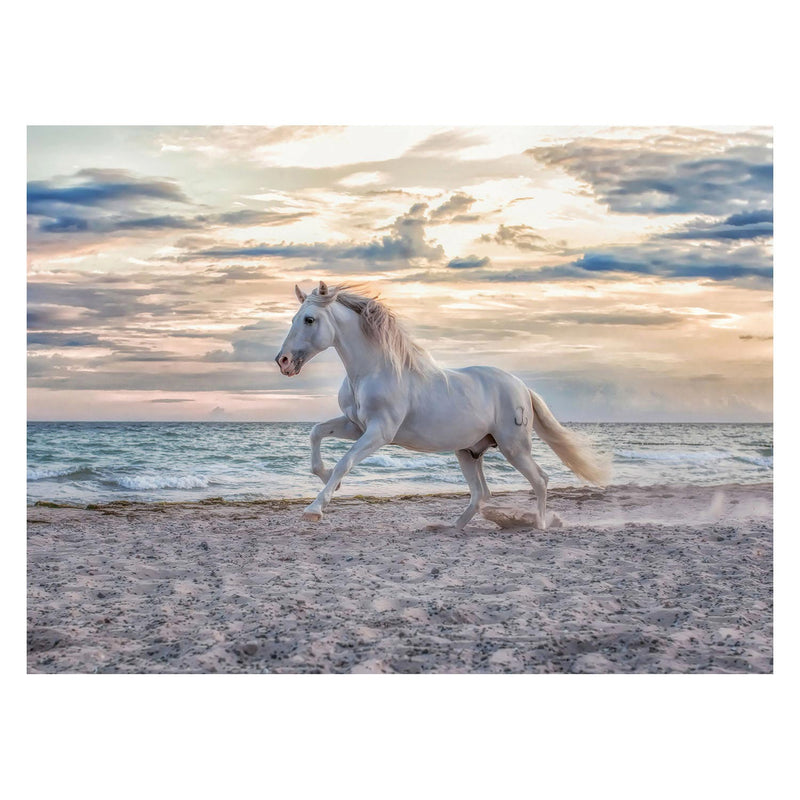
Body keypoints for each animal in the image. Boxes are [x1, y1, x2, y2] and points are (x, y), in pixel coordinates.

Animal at [275, 281, 610, 529]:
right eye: (293, 319)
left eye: (309, 319)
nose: (283, 362)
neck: (374, 370)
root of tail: (521, 386)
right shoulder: (355, 426)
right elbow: (316, 434)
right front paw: (327, 479)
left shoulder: (380, 432)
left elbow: (345, 462)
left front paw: (315, 508)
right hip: (469, 451)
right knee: (481, 493)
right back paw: (452, 527)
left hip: (514, 447)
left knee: (539, 479)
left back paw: (539, 525)